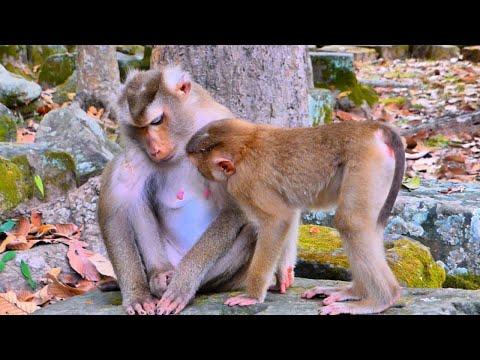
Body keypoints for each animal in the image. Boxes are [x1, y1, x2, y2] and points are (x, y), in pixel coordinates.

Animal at [98, 65, 300, 316]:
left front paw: (183, 284)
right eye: (139, 129)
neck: (185, 138)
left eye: (157, 120)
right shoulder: (136, 151)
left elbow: (236, 208)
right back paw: (159, 274)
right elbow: (114, 210)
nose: (154, 149)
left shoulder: (224, 133)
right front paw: (137, 295)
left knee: (256, 224)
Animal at [187, 119, 404, 316]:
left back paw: (381, 299)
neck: (246, 144)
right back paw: (356, 292)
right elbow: (289, 214)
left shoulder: (244, 183)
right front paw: (283, 276)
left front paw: (253, 296)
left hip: (367, 161)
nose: (200, 178)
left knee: (351, 223)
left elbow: (277, 220)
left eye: (199, 168)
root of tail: (370, 127)